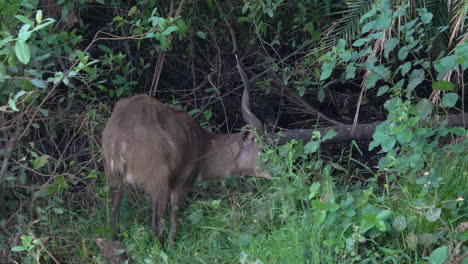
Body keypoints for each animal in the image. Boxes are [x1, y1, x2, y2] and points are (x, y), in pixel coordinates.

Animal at [102, 61, 270, 245]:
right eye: (263, 149)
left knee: (112, 221)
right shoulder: (181, 182)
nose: (276, 173)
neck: (202, 144)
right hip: (157, 181)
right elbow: (175, 216)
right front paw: (174, 244)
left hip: (114, 178)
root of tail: (119, 137)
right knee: (156, 225)